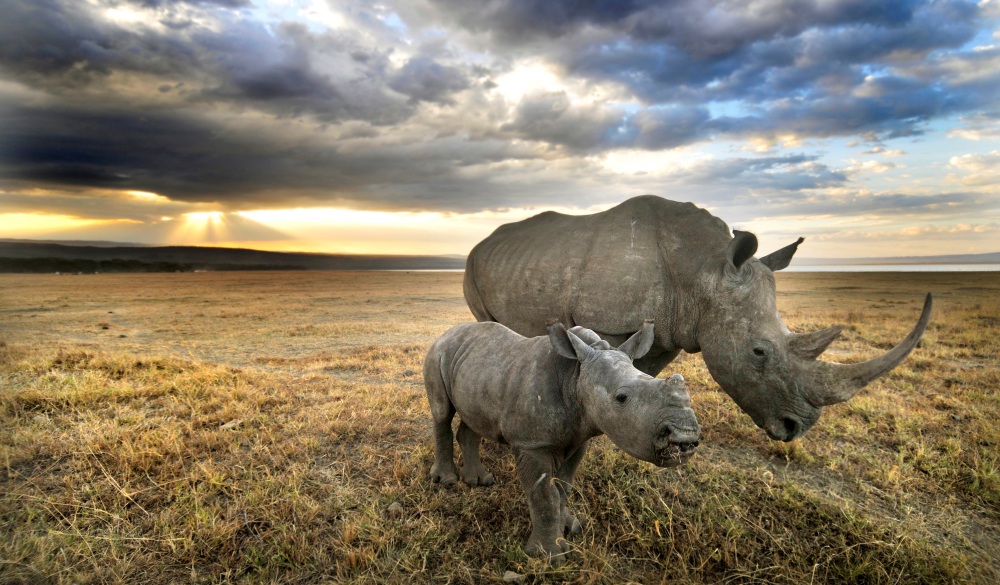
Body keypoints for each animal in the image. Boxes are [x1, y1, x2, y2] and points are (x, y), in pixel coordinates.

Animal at [426, 320, 700, 560]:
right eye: (621, 398)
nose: (685, 435)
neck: (575, 376)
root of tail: (447, 333)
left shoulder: (579, 437)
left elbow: (563, 487)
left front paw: (570, 529)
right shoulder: (532, 443)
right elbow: (545, 495)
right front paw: (548, 556)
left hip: (477, 368)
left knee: (472, 418)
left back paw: (479, 481)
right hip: (438, 353)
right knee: (442, 412)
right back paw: (447, 480)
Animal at [464, 194, 932, 440]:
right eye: (759, 352)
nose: (795, 429)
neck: (704, 270)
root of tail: (483, 241)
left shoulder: (672, 328)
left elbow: (643, 374)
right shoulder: (610, 320)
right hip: (473, 264)